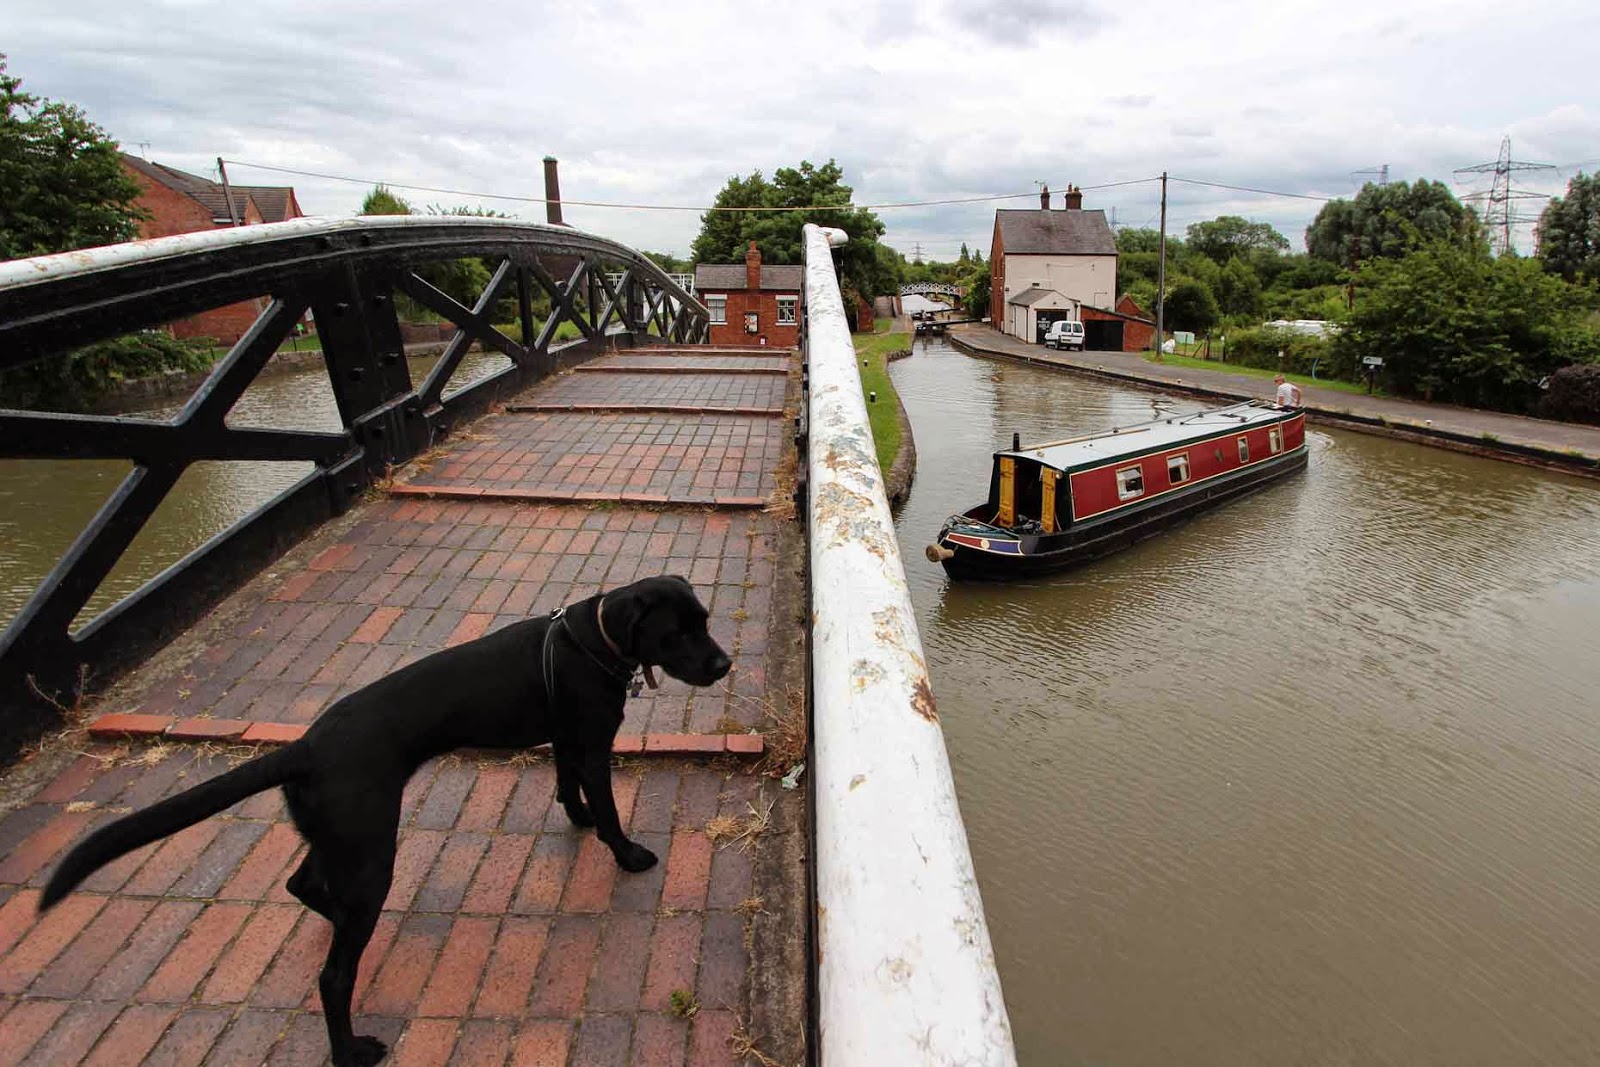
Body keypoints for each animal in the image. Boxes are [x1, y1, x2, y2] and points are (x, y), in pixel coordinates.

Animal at [39, 574, 731, 1067]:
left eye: (704, 622)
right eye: (678, 632)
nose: (723, 665)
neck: (589, 640)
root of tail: (305, 747)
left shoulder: (566, 740)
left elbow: (569, 792)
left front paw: (581, 822)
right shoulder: (591, 745)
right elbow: (608, 809)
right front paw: (628, 854)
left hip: (343, 837)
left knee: (303, 885)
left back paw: (333, 921)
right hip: (371, 850)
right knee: (333, 975)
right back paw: (350, 1051)